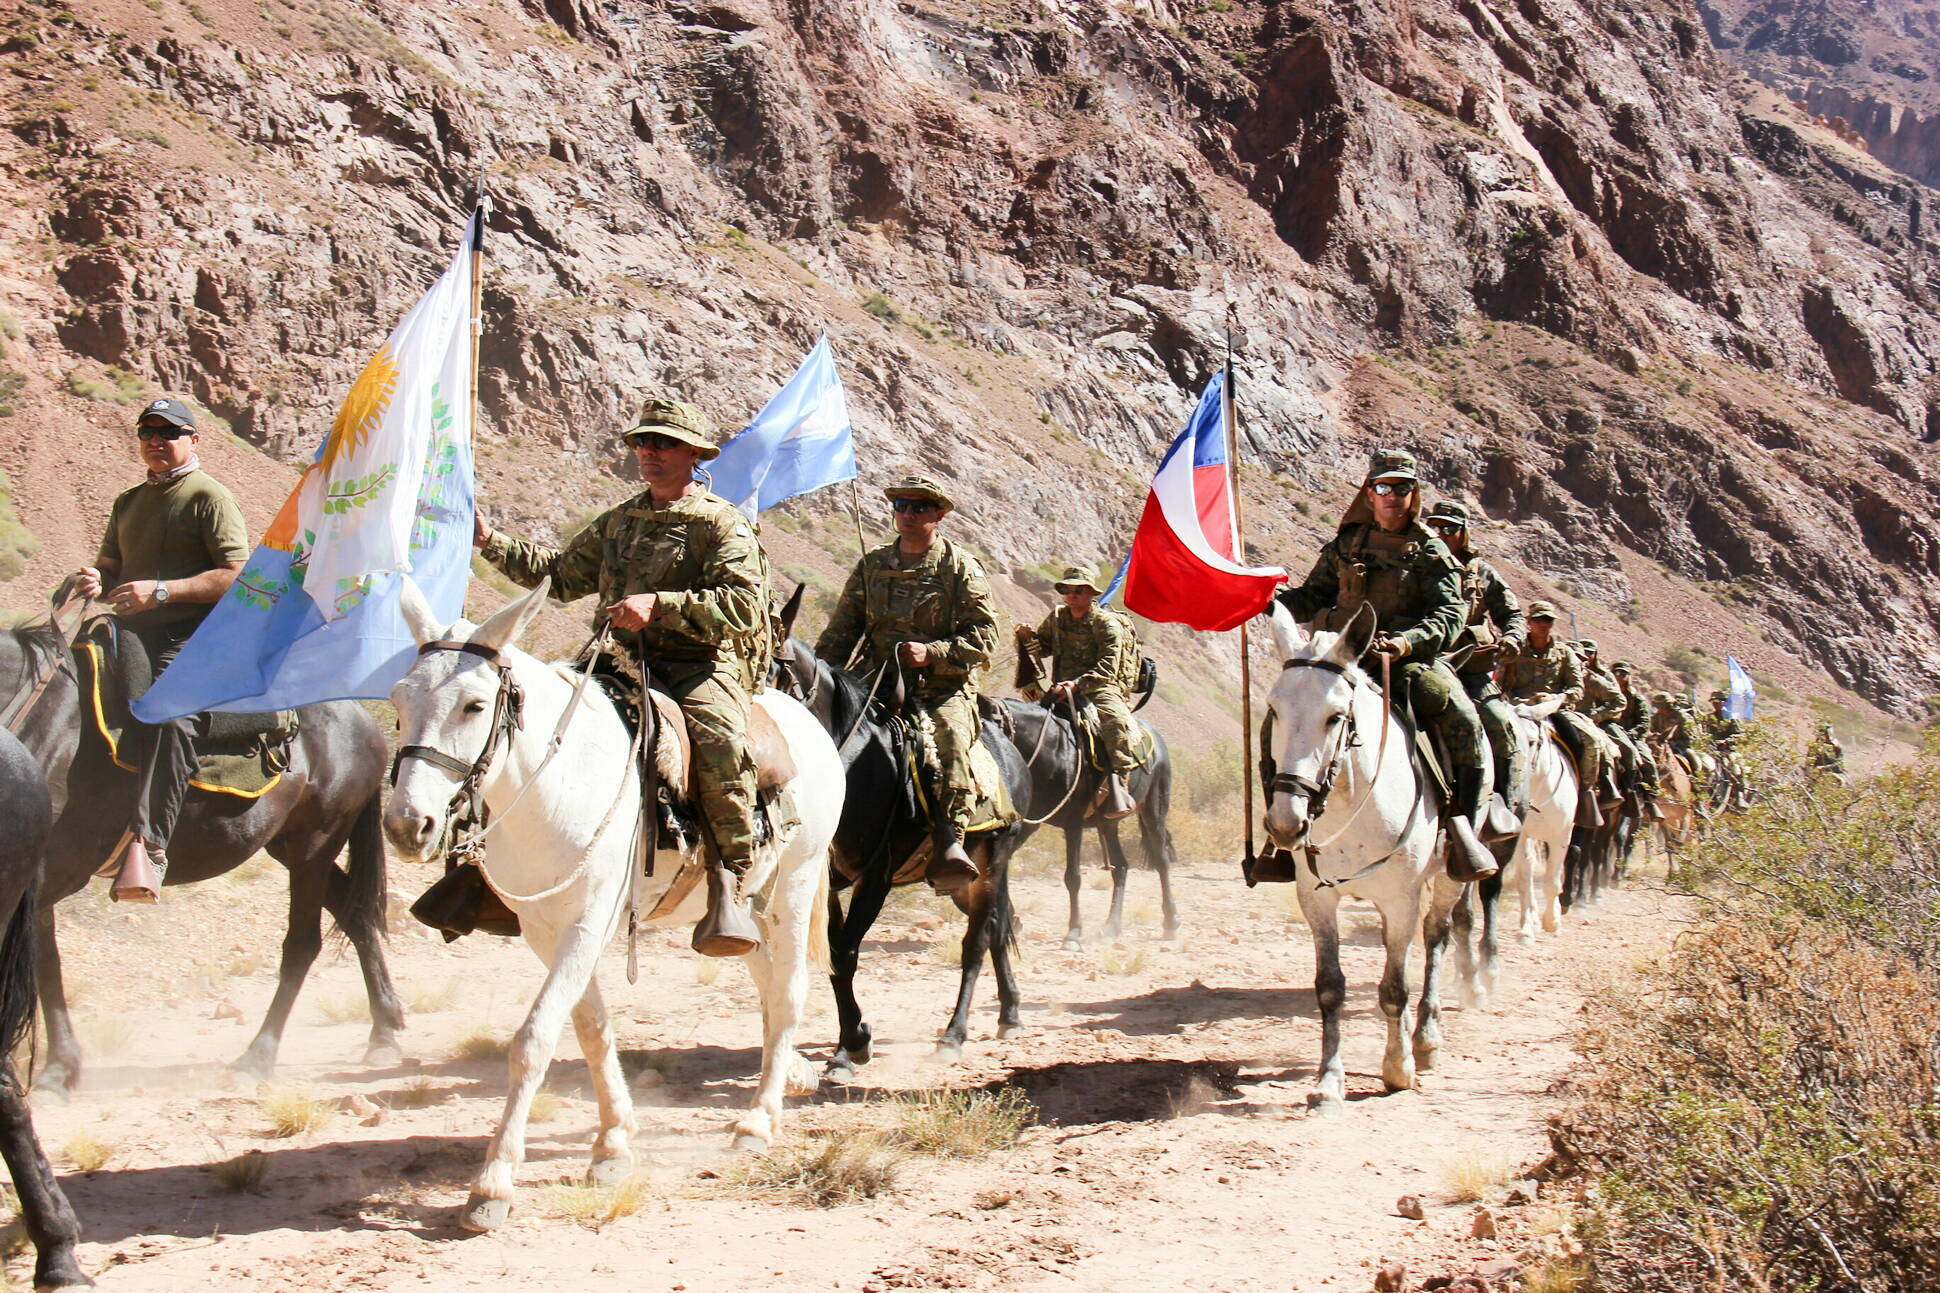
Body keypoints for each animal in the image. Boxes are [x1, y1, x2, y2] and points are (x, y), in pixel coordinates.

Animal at [0, 613, 401, 1087]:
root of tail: (364, 722)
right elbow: (47, 963)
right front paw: (62, 1068)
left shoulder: (45, 874)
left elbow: (36, 962)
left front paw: (52, 1070)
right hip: (290, 846)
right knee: (357, 917)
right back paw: (384, 1032)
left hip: (315, 845)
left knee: (304, 944)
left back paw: (257, 1057)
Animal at [779, 640, 1039, 1071]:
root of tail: (1011, 754)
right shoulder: (828, 880)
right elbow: (834, 956)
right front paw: (850, 1043)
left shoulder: (876, 876)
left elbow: (845, 952)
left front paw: (854, 1045)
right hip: (965, 885)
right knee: (998, 928)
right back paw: (1011, 1014)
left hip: (993, 861)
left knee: (977, 943)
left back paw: (954, 1036)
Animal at [1001, 695, 1179, 947]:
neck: (1051, 749)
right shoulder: (1029, 823)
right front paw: (1013, 922)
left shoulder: (1073, 823)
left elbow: (1073, 878)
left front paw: (1074, 932)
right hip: (1109, 823)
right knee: (1121, 866)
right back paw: (1112, 926)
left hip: (1154, 809)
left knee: (1161, 860)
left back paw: (1170, 922)